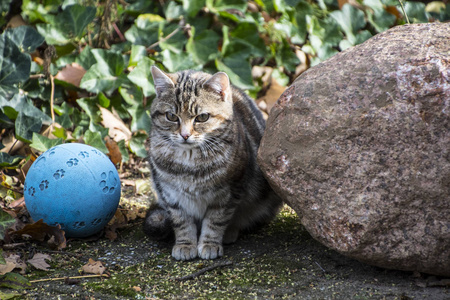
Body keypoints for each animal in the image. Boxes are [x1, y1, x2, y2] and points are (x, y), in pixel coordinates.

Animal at [145, 65, 282, 260]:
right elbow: (181, 222)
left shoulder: (227, 193)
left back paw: (230, 233)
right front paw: (185, 244)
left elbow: (216, 221)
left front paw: (210, 243)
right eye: (171, 116)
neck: (189, 163)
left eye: (202, 117)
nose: (185, 135)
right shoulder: (171, 195)